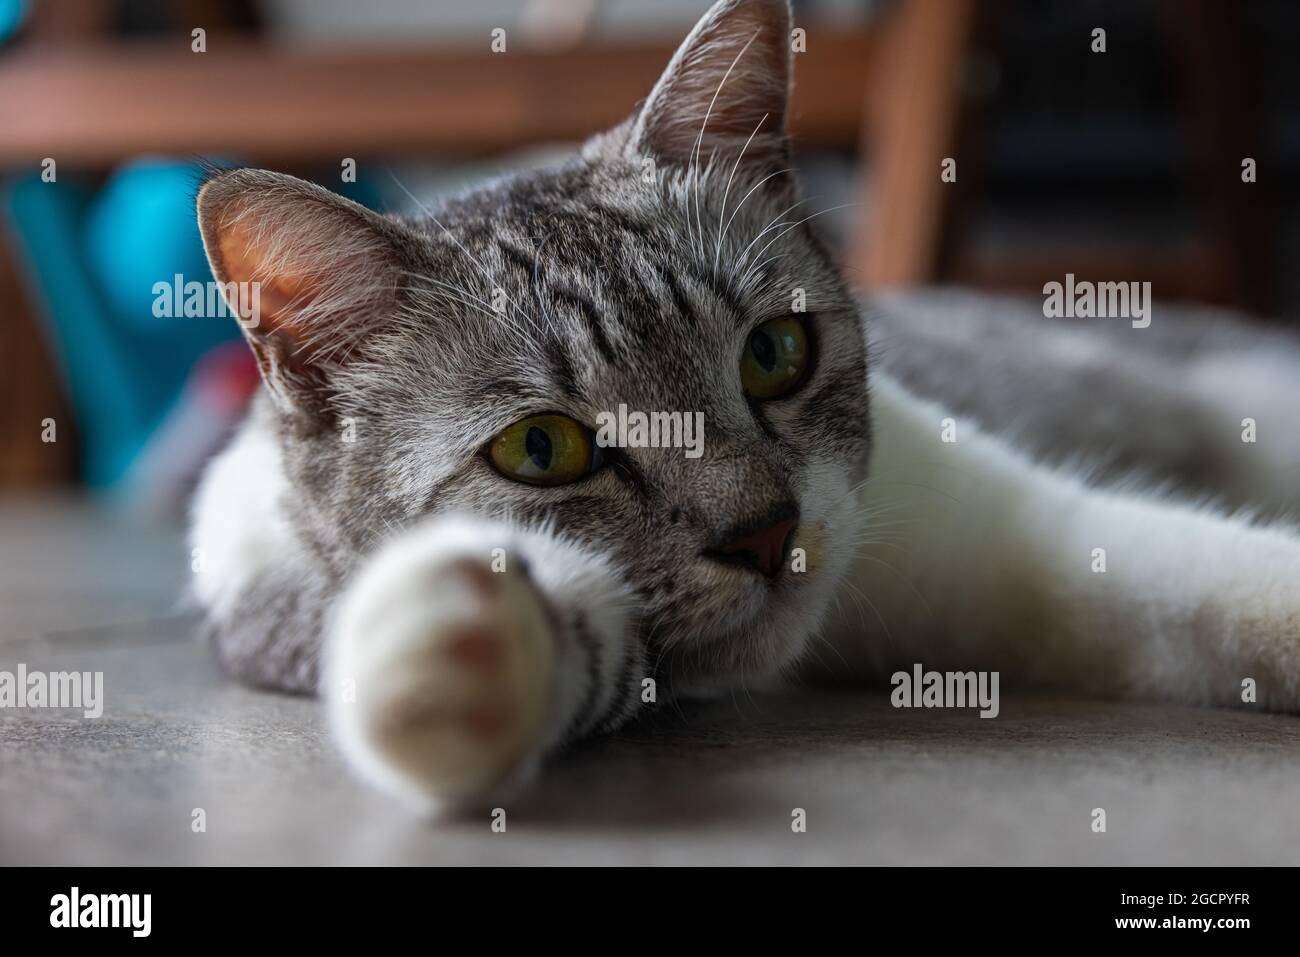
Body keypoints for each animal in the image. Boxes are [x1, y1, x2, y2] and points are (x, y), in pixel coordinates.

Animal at [188, 0, 1300, 816]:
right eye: (541, 449)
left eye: (773, 354)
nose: (768, 535)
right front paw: (456, 644)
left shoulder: (1017, 536)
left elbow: (1222, 583)